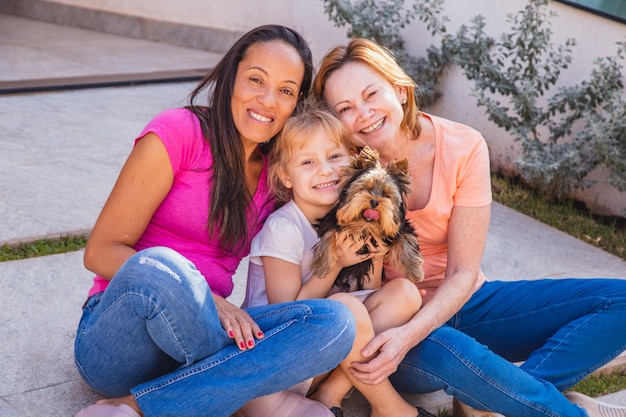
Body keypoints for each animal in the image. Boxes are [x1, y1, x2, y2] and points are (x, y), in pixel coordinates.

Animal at [310, 146, 424, 292]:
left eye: (386, 195)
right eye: (366, 188)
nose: (374, 201)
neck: (365, 226)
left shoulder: (400, 227)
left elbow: (405, 239)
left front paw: (414, 271)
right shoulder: (331, 221)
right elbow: (329, 235)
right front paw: (322, 265)